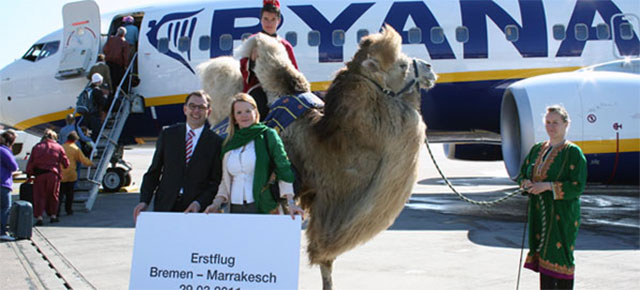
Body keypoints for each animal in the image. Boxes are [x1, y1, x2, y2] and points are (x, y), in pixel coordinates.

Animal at [198, 26, 438, 288]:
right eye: (402, 65)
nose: (429, 68)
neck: (322, 143)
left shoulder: (322, 200)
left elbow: (326, 261)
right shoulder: (290, 191)